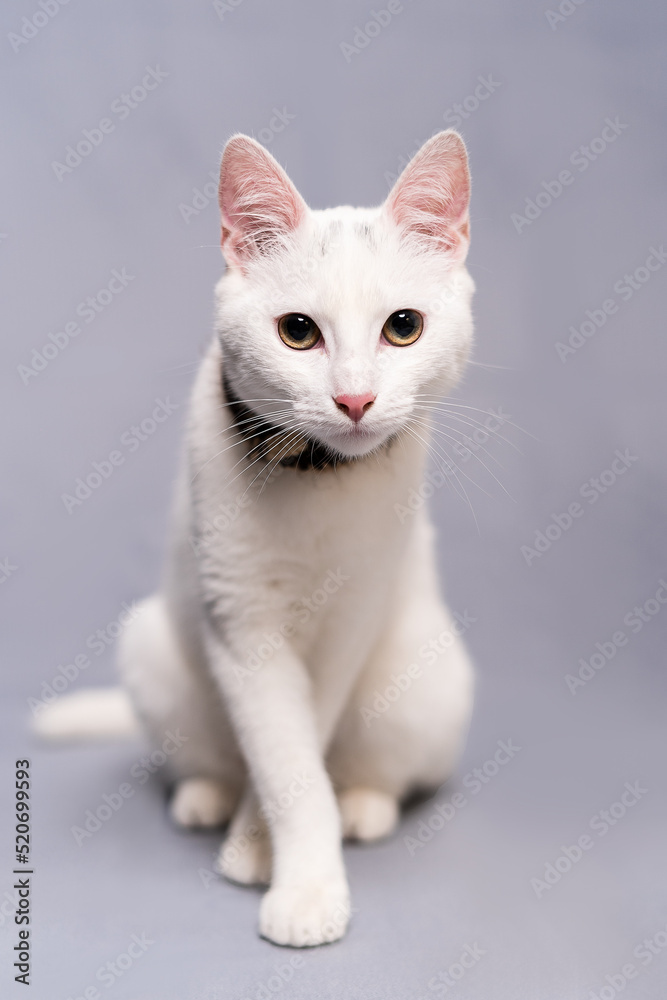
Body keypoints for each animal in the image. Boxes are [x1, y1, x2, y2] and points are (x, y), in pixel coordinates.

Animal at [36, 131, 474, 944]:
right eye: (297, 331)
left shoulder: (352, 616)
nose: (355, 399)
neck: (316, 479)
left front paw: (277, 861)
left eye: (403, 327)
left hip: (423, 680)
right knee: (214, 757)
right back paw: (206, 795)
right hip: (153, 648)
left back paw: (364, 804)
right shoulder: (240, 621)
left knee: (384, 770)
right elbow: (284, 763)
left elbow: (307, 749)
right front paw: (285, 871)